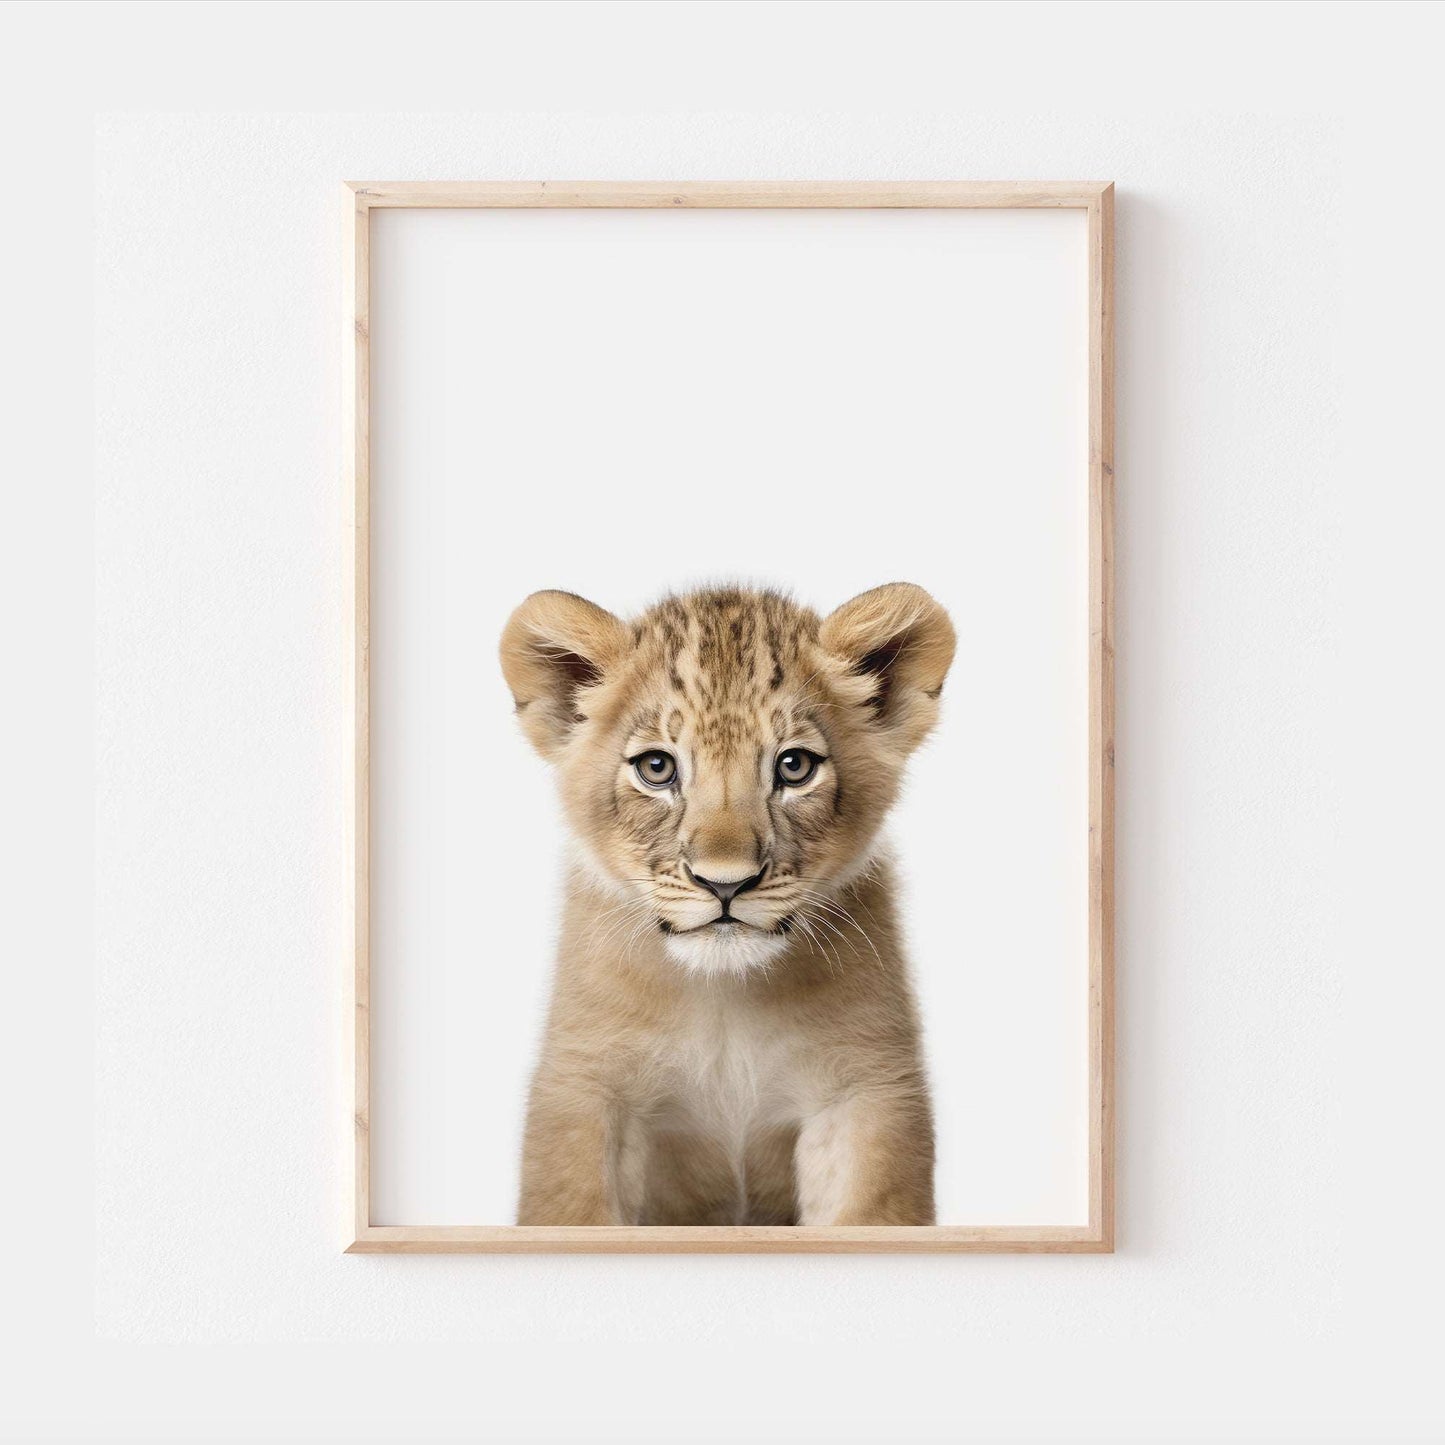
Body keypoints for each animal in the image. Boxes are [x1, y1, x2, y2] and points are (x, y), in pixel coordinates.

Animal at [500, 582, 955, 1226]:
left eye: (794, 766)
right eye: (657, 767)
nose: (725, 884)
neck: (726, 997)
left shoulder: (865, 1087)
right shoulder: (585, 1083)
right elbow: (573, 1209)